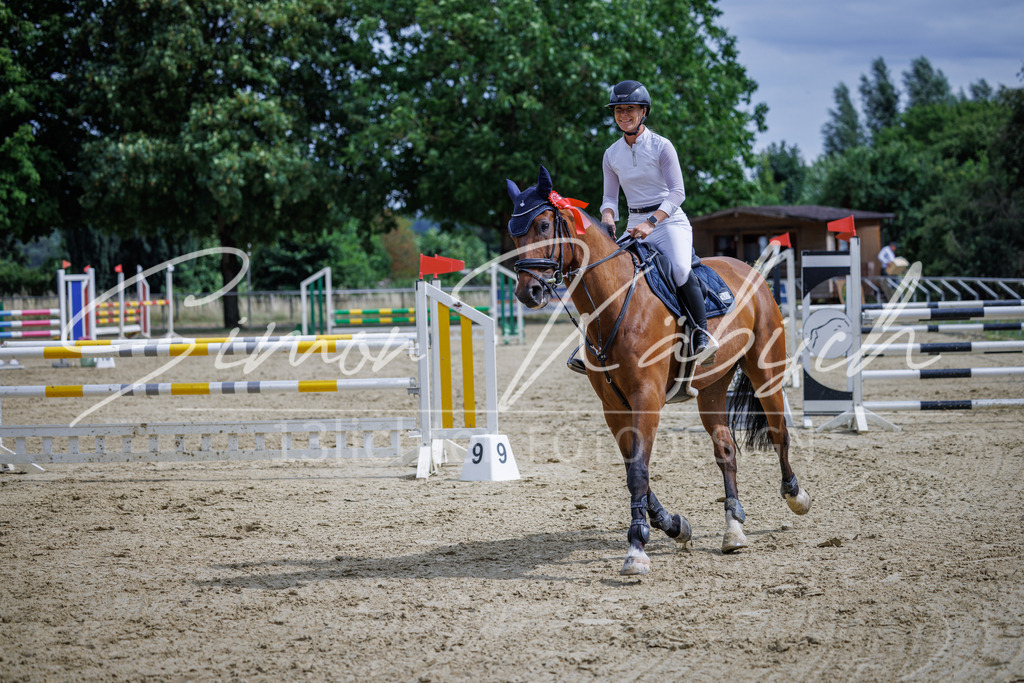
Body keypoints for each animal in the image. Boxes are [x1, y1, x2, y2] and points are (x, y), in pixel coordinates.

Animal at [506, 166, 810, 575]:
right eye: (513, 232)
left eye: (541, 225)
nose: (529, 293)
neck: (615, 301)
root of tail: (750, 270)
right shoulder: (614, 407)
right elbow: (635, 470)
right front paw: (675, 526)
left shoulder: (646, 398)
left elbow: (638, 471)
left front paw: (637, 548)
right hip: (712, 387)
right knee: (725, 449)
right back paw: (733, 529)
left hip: (766, 374)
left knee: (779, 433)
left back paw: (796, 496)